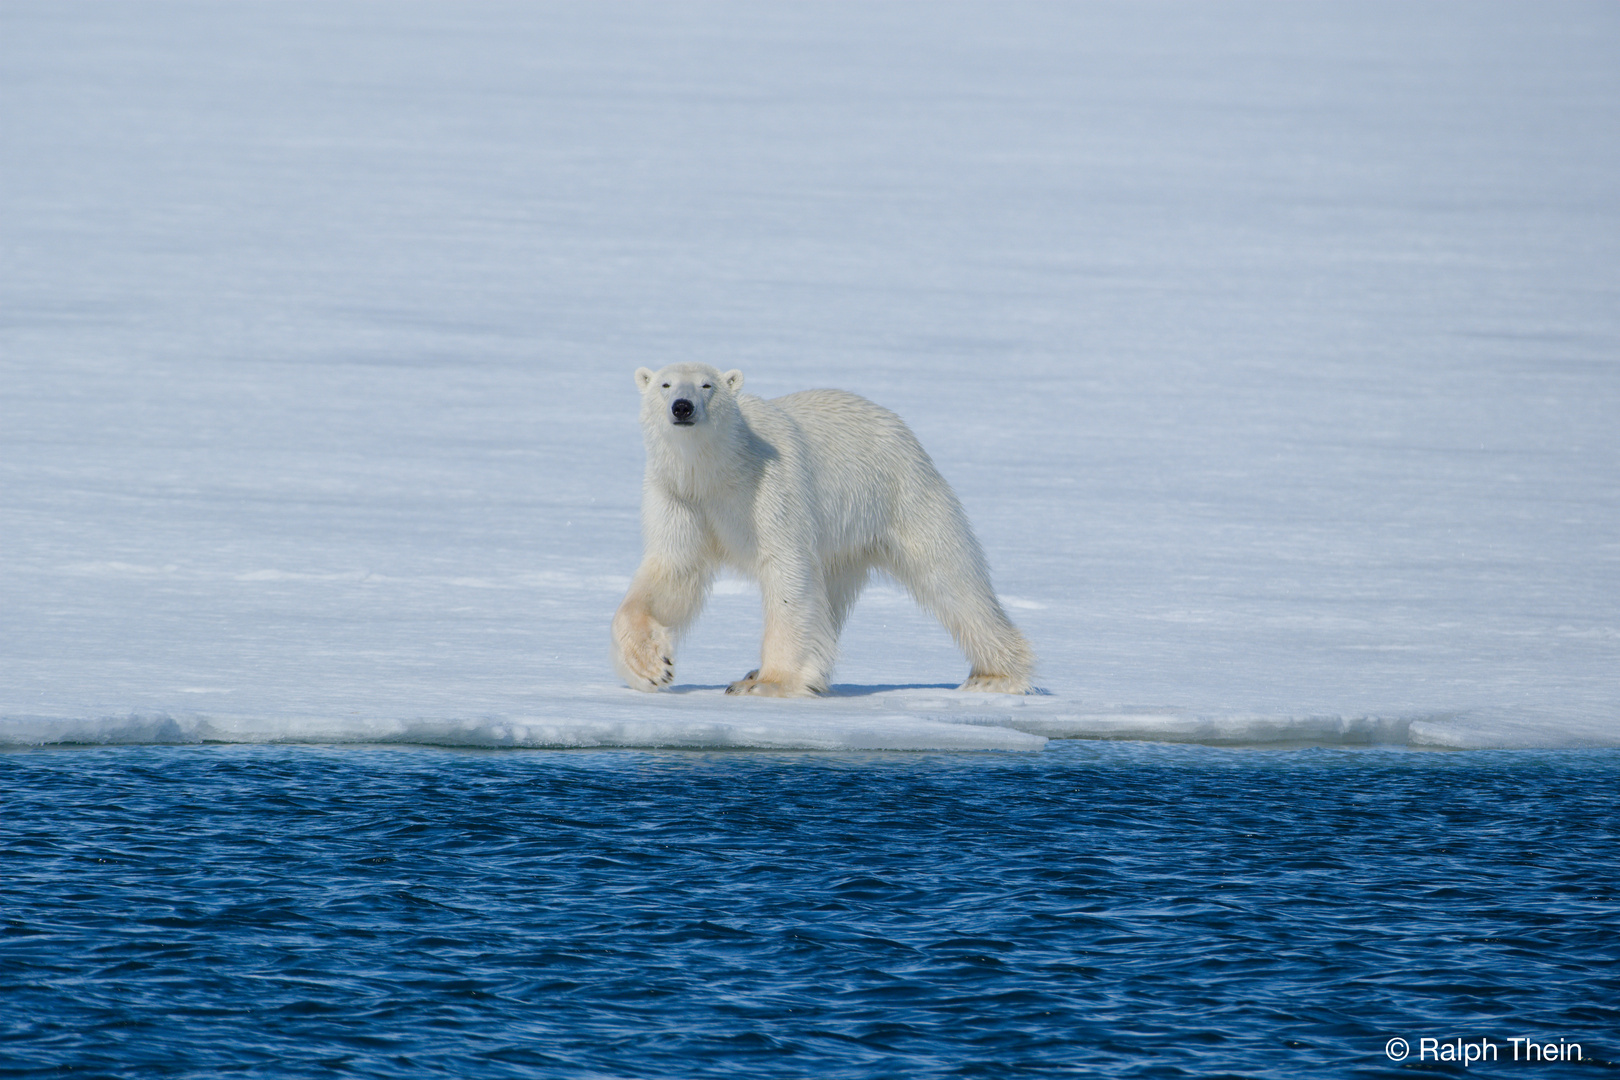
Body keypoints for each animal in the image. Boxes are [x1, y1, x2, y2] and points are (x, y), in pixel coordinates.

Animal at [609, 362, 1036, 696]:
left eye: (706, 385)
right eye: (665, 384)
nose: (682, 407)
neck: (716, 472)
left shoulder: (767, 489)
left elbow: (787, 570)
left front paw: (770, 682)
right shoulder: (679, 497)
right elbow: (673, 571)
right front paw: (651, 667)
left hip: (899, 494)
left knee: (951, 578)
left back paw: (994, 675)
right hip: (844, 542)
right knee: (831, 596)